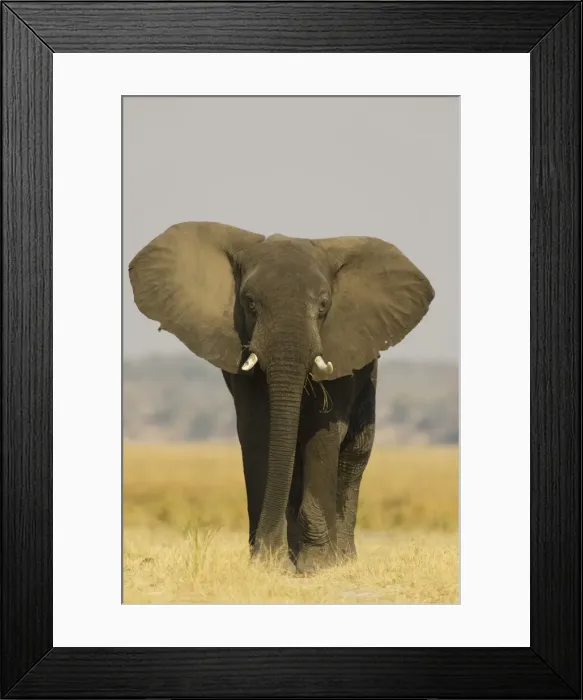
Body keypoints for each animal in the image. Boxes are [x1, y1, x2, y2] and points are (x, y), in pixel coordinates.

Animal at [128, 221, 434, 573]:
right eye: (249, 303)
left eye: (324, 306)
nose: (268, 552)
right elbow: (259, 431)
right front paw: (269, 564)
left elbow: (323, 433)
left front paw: (317, 566)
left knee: (354, 456)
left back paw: (342, 559)